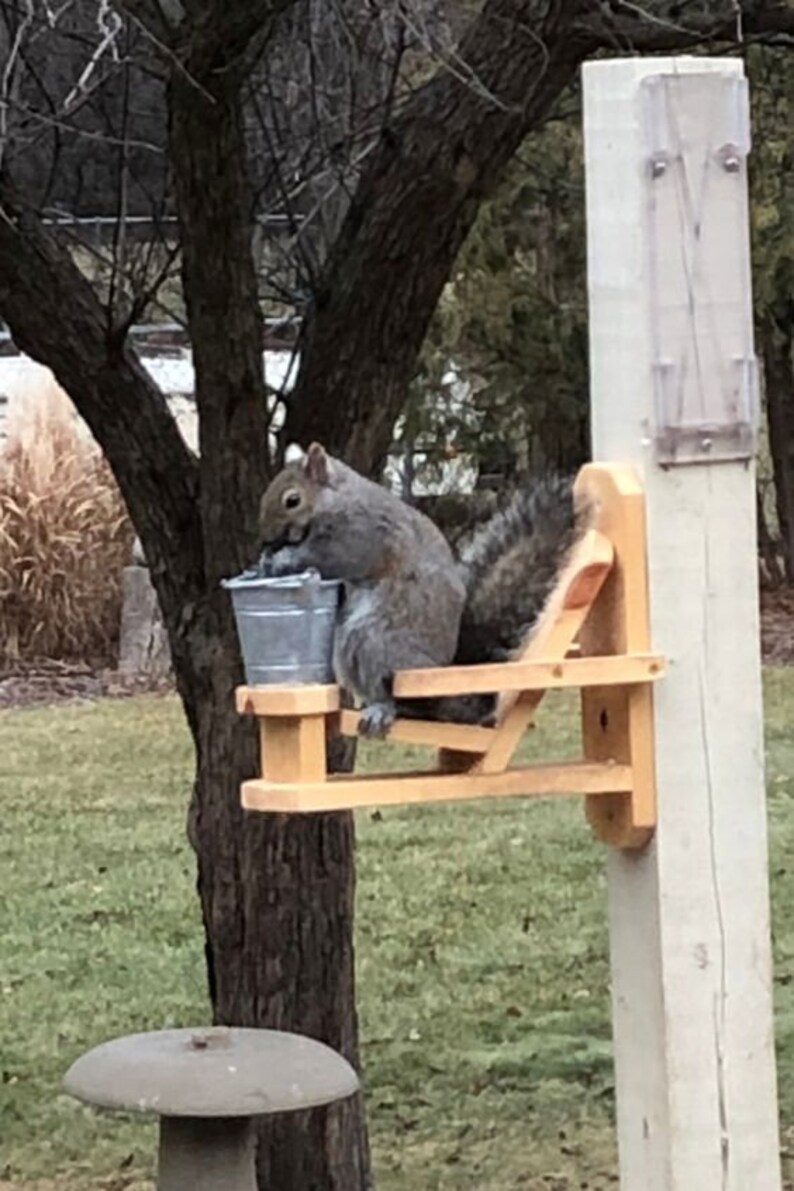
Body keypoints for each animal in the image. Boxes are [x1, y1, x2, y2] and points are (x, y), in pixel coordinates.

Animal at [257, 442, 586, 738]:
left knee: (387, 686)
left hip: (376, 640)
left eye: (292, 500)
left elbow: (330, 558)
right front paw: (266, 561)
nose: (266, 539)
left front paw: (283, 561)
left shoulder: (359, 533)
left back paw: (381, 708)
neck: (335, 498)